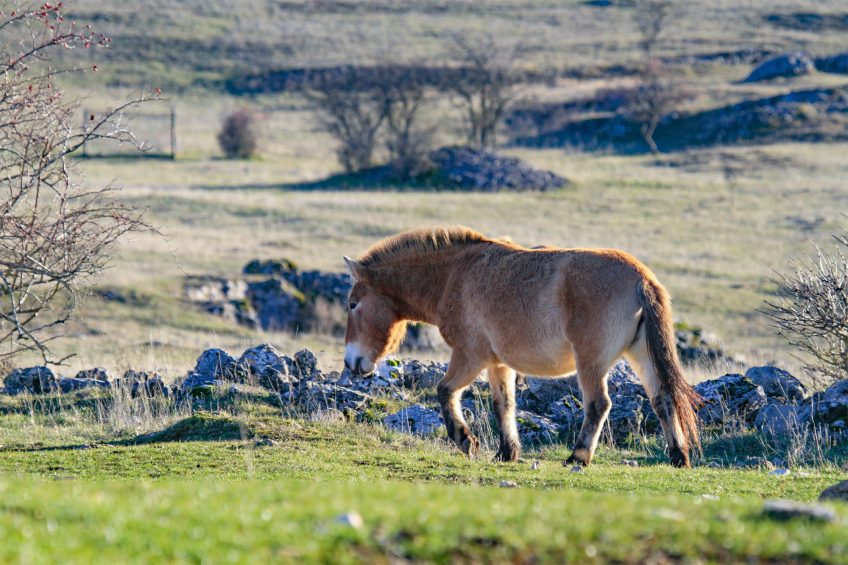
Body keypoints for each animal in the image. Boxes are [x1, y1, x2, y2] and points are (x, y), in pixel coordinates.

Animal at [342, 226, 700, 467]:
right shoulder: (498, 363)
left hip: (591, 363)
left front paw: (465, 441)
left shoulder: (469, 356)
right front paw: (507, 452)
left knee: (598, 404)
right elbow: (504, 405)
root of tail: (642, 279)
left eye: (352, 304)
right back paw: (678, 456)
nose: (351, 363)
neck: (454, 275)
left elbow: (445, 391)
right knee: (662, 399)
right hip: (640, 356)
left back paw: (578, 456)